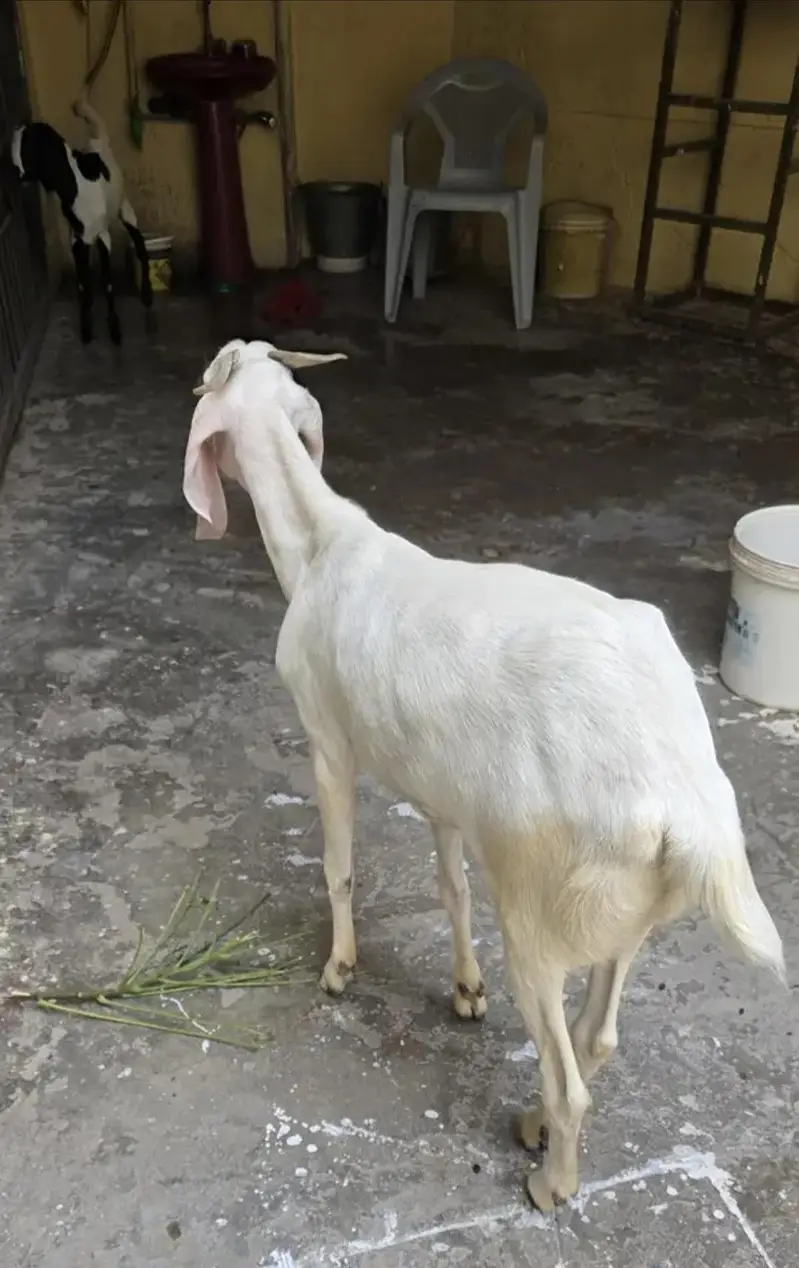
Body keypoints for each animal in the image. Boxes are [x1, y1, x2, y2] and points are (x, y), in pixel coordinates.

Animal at [6, 96, 152, 345]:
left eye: (27, 145)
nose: (15, 173)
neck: (75, 185)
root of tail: (97, 141)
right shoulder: (76, 238)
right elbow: (83, 283)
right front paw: (86, 328)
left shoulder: (103, 236)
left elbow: (108, 283)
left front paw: (114, 328)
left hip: (125, 208)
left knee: (140, 247)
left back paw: (147, 295)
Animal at [183, 339, 785, 1212]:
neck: (322, 549)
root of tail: (688, 807)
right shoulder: (441, 789)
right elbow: (451, 887)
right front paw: (465, 988)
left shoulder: (328, 743)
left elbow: (338, 867)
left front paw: (339, 968)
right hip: (621, 913)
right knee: (596, 1036)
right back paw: (533, 1123)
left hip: (538, 910)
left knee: (570, 1075)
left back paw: (550, 1179)